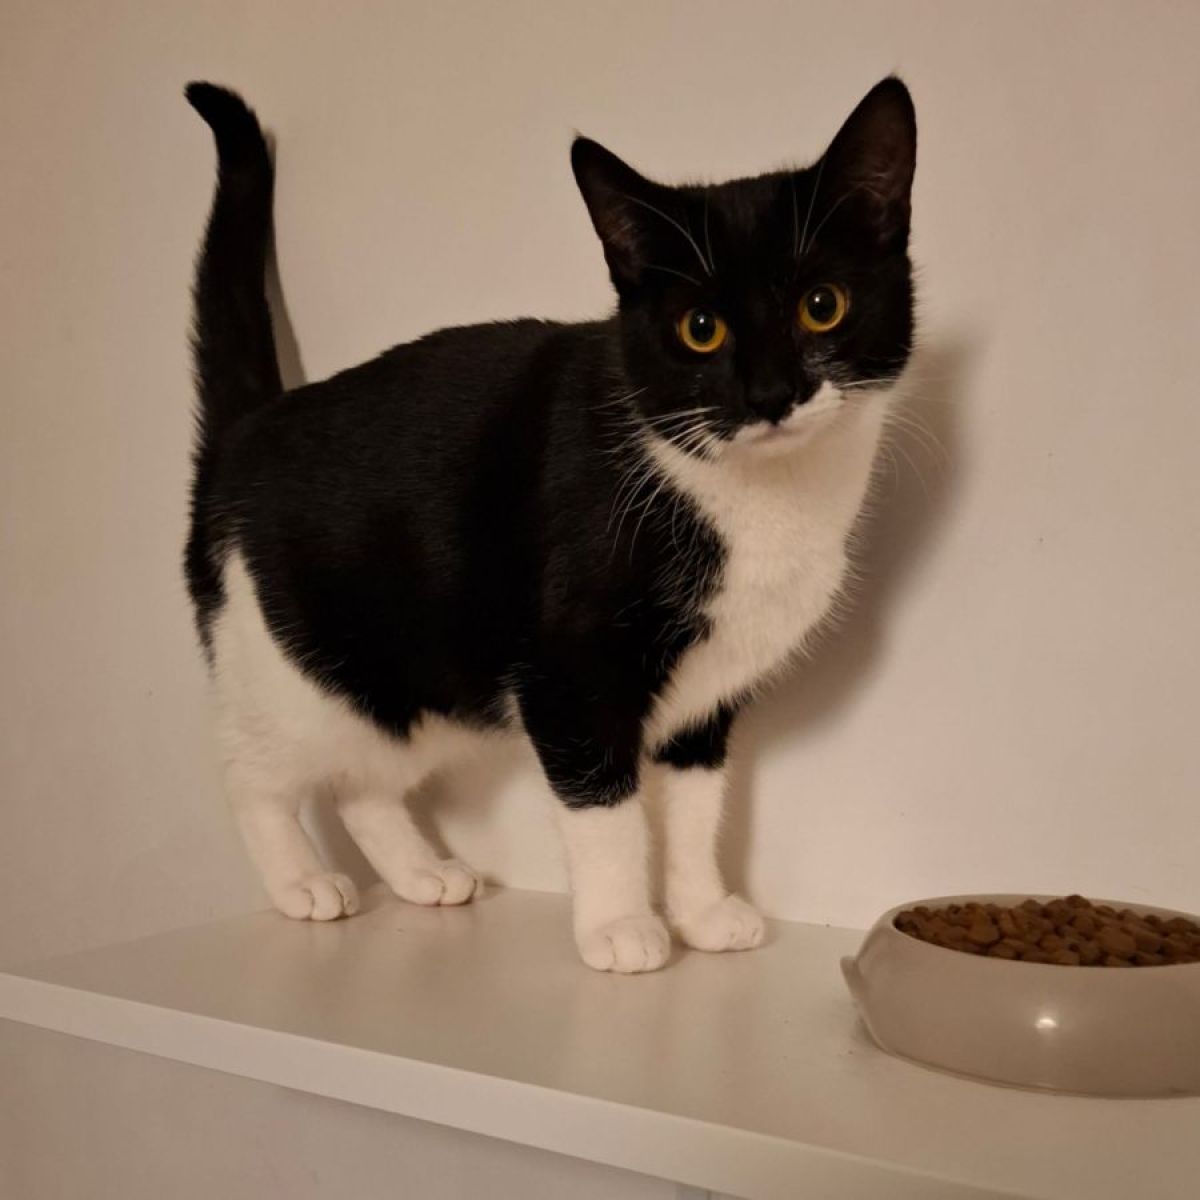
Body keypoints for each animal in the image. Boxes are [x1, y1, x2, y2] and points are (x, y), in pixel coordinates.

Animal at [184, 77, 916, 973]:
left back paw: (423, 873)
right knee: (250, 770)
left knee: (366, 779)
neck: (760, 501)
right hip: (296, 665)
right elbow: (605, 805)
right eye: (699, 329)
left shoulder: (706, 697)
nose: (772, 394)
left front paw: (701, 913)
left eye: (822, 307)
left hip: (414, 680)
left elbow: (695, 807)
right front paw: (620, 926)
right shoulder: (569, 672)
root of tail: (248, 429)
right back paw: (302, 882)